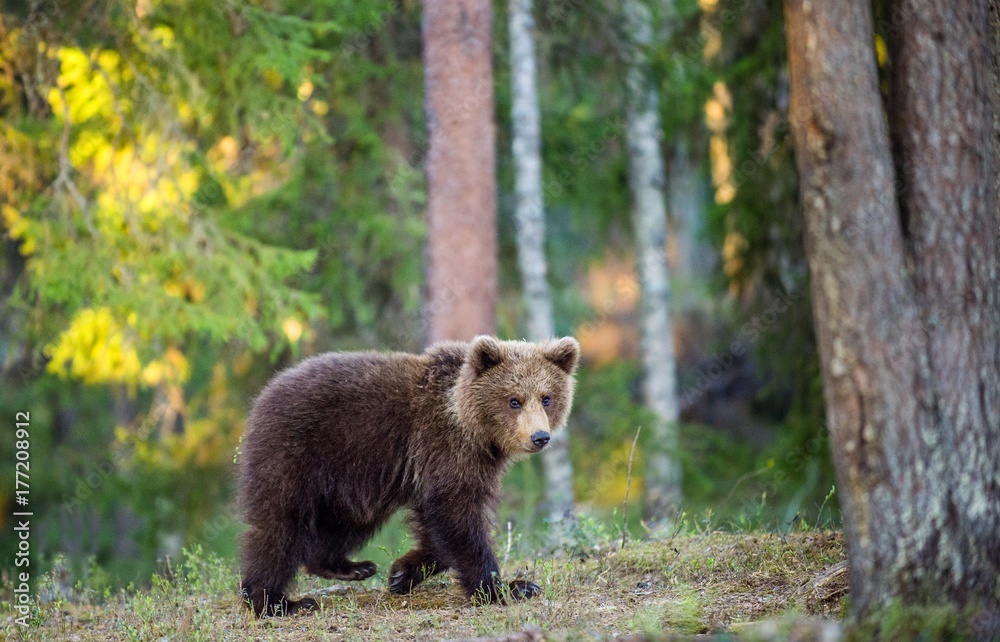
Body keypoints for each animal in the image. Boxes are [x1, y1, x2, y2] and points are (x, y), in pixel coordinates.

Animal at [237, 335, 580, 616]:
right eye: (514, 400)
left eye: (547, 397)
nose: (539, 437)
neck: (471, 426)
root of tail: (262, 396)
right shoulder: (443, 446)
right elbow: (454, 515)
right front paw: (508, 587)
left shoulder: (460, 462)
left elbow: (442, 521)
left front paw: (403, 572)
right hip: (297, 454)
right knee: (280, 527)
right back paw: (277, 601)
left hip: (348, 479)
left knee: (347, 521)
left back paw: (351, 566)